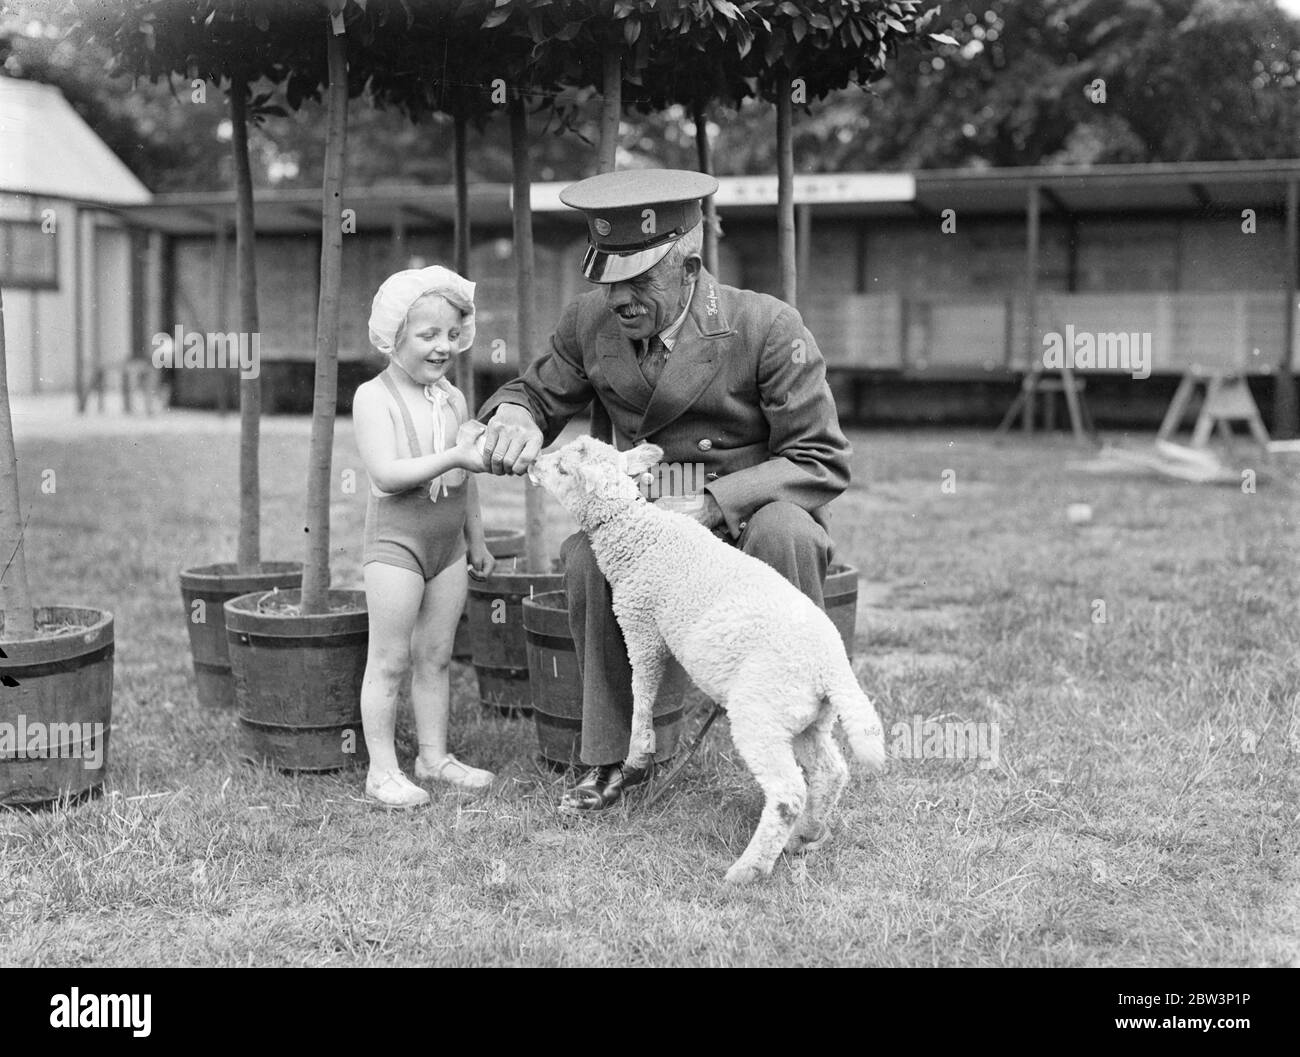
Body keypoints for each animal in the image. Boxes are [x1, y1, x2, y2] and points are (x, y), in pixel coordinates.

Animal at [525, 434, 883, 884]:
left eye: (563, 470)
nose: (532, 463)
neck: (638, 532)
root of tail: (831, 665)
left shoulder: (641, 627)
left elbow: (642, 691)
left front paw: (639, 751)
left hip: (762, 711)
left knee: (787, 792)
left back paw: (748, 870)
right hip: (807, 718)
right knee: (830, 772)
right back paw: (805, 836)